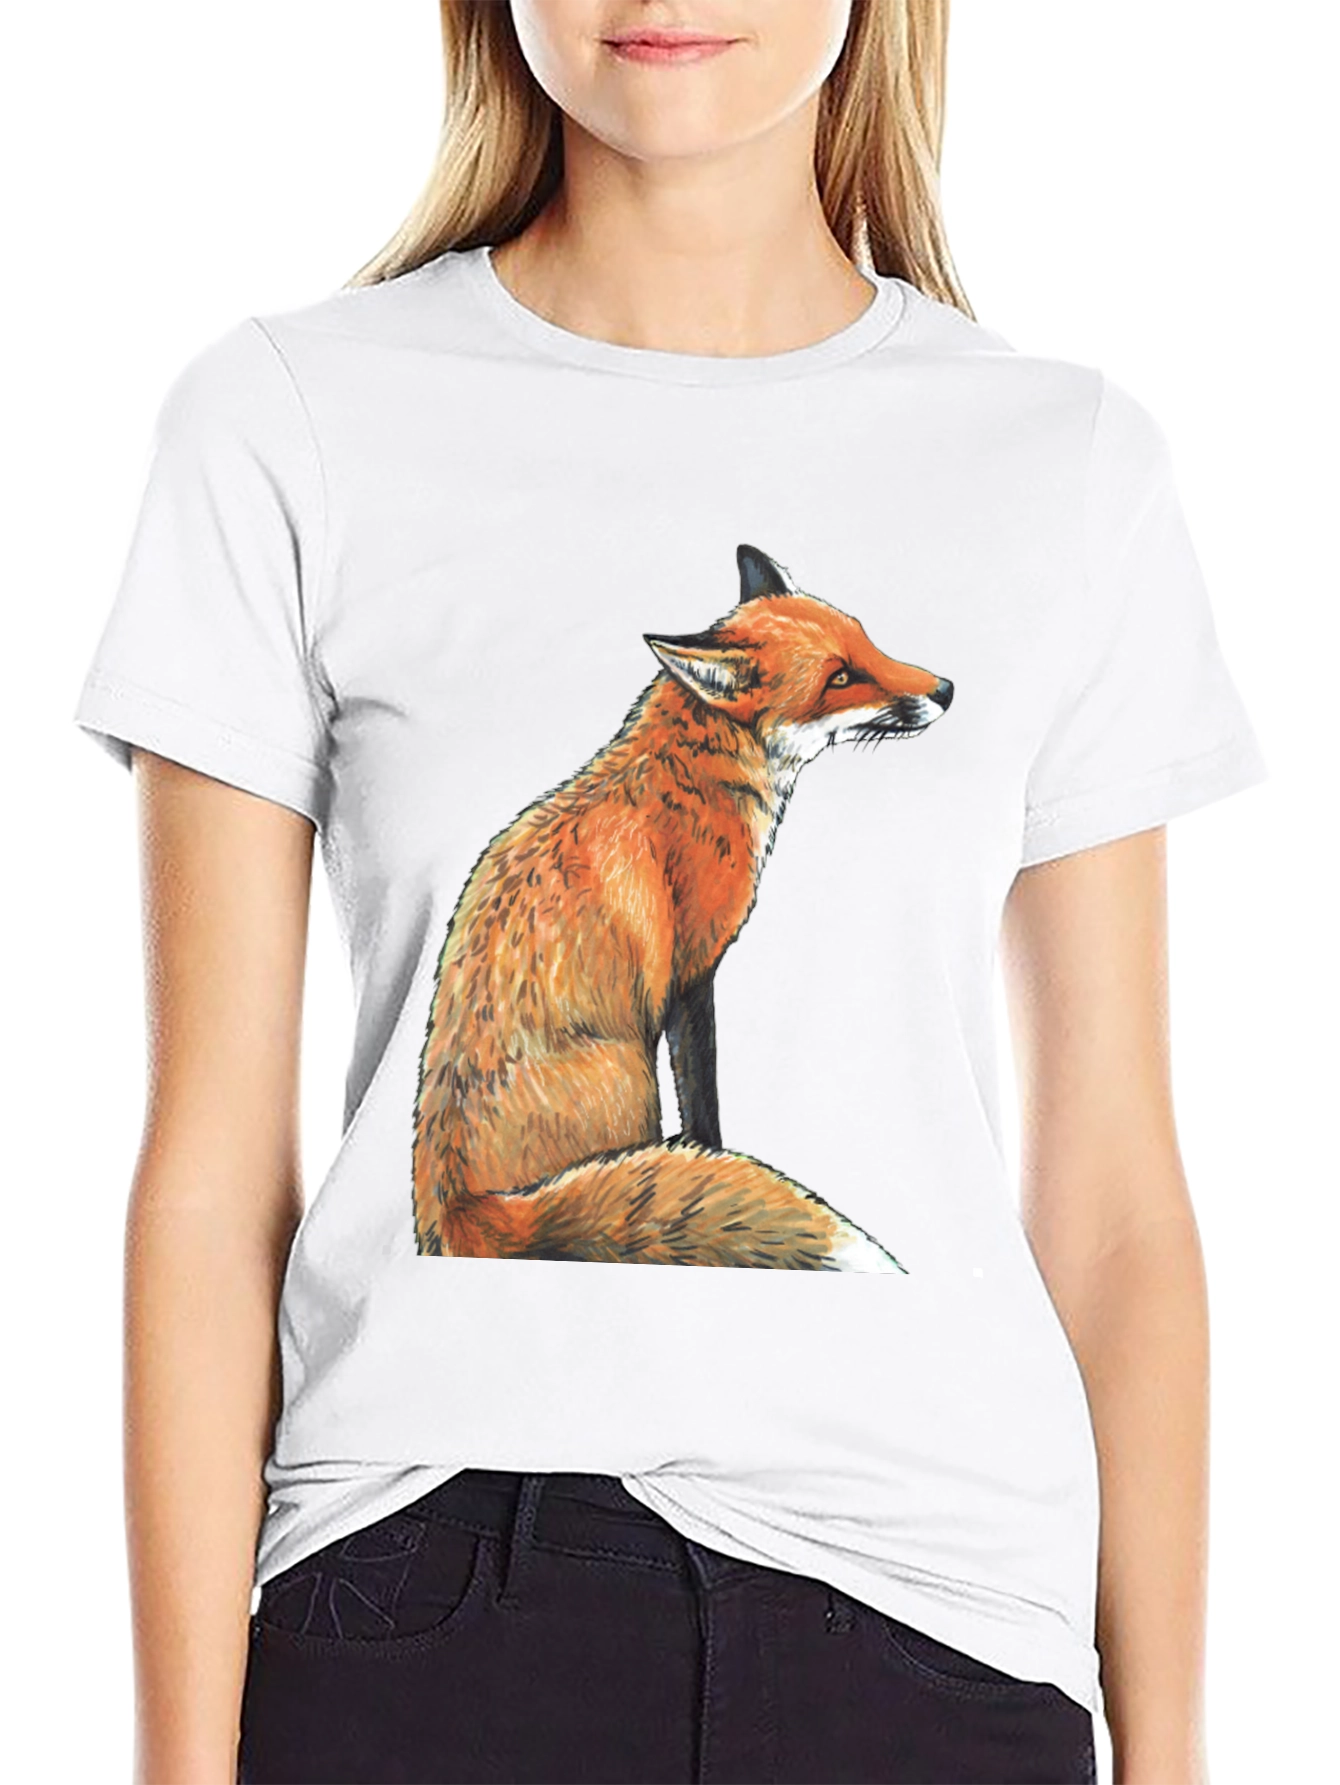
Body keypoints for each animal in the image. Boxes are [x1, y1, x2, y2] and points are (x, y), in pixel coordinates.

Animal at [412, 543, 953, 1270]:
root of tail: (457, 1210)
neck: (693, 777)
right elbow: (704, 1106)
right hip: (631, 1075)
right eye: (839, 677)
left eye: (867, 641)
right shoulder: (692, 972)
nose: (945, 689)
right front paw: (715, 1155)